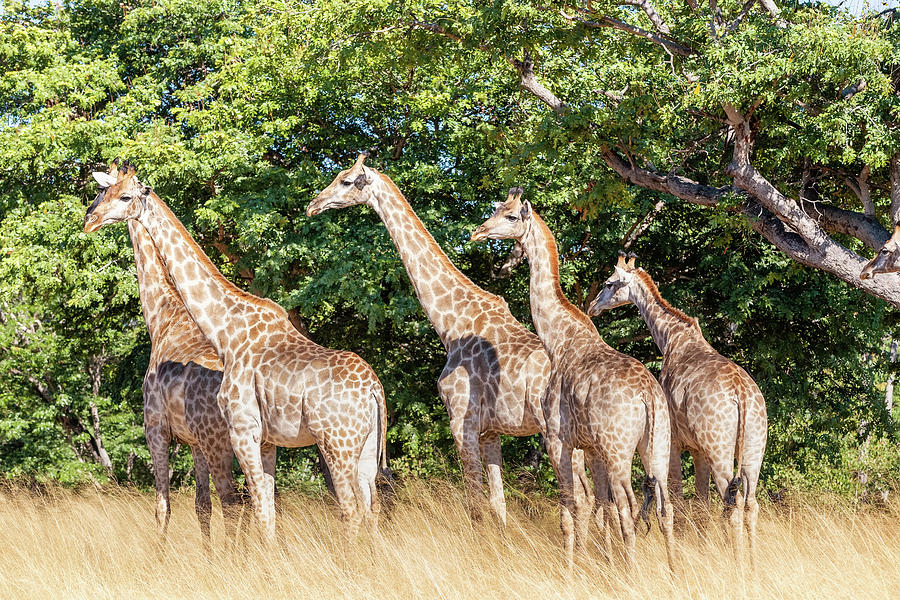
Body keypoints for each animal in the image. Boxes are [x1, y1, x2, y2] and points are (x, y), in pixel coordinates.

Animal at [85, 161, 390, 540]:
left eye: (124, 196)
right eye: (102, 193)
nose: (89, 220)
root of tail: (375, 390)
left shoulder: (205, 429)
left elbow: (195, 507)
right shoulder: (263, 441)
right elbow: (257, 507)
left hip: (335, 444)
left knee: (348, 509)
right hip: (366, 448)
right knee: (371, 508)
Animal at [306, 154, 596, 524]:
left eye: (346, 181)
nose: (313, 205)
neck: (451, 324)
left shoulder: (461, 423)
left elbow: (475, 504)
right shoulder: (490, 432)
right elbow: (498, 503)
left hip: (555, 432)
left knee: (581, 496)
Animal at [472, 189, 676, 572]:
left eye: (510, 216)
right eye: (496, 209)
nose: (478, 232)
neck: (559, 340)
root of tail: (647, 396)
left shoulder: (557, 439)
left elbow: (570, 509)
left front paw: (571, 570)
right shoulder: (591, 447)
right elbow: (597, 507)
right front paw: (594, 562)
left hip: (619, 449)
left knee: (628, 506)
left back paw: (633, 572)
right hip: (657, 445)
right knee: (663, 506)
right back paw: (672, 572)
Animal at [592, 252, 768, 568]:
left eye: (609, 283)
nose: (593, 306)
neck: (671, 338)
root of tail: (742, 395)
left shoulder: (675, 441)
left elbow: (679, 499)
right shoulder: (698, 449)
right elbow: (701, 503)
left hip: (719, 448)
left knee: (732, 503)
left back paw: (738, 567)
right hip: (753, 448)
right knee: (750, 504)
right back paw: (752, 563)